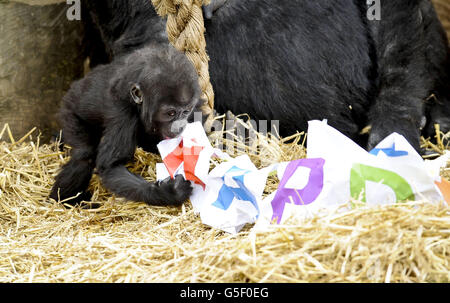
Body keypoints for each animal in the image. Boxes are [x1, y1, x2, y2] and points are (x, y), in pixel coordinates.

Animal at [48, 42, 200, 208]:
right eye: (170, 113)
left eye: (185, 112)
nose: (179, 127)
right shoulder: (123, 113)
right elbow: (111, 166)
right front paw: (170, 192)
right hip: (69, 110)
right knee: (84, 154)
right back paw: (65, 199)